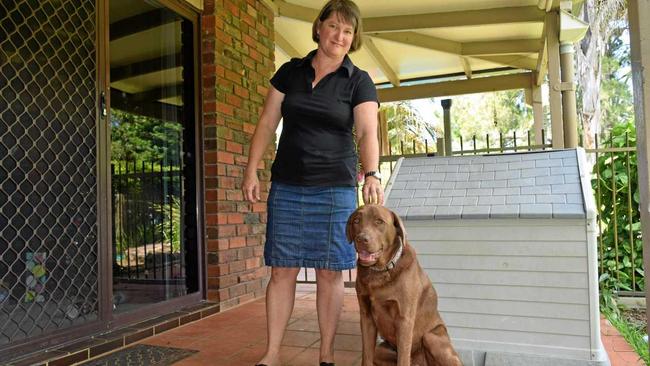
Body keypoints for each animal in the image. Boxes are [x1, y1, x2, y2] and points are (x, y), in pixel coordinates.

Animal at [344, 204, 460, 364]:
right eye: (356, 221)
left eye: (379, 221)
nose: (361, 239)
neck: (380, 271)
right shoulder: (366, 316)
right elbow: (366, 356)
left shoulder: (404, 319)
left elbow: (403, 358)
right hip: (381, 350)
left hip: (431, 338)